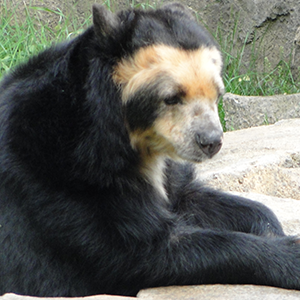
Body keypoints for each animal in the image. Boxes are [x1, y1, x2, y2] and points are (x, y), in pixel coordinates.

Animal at [0, 1, 298, 298]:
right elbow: (143, 250)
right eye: (172, 97)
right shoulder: (62, 177)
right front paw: (290, 253)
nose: (210, 142)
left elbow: (193, 197)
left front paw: (272, 230)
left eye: (217, 94)